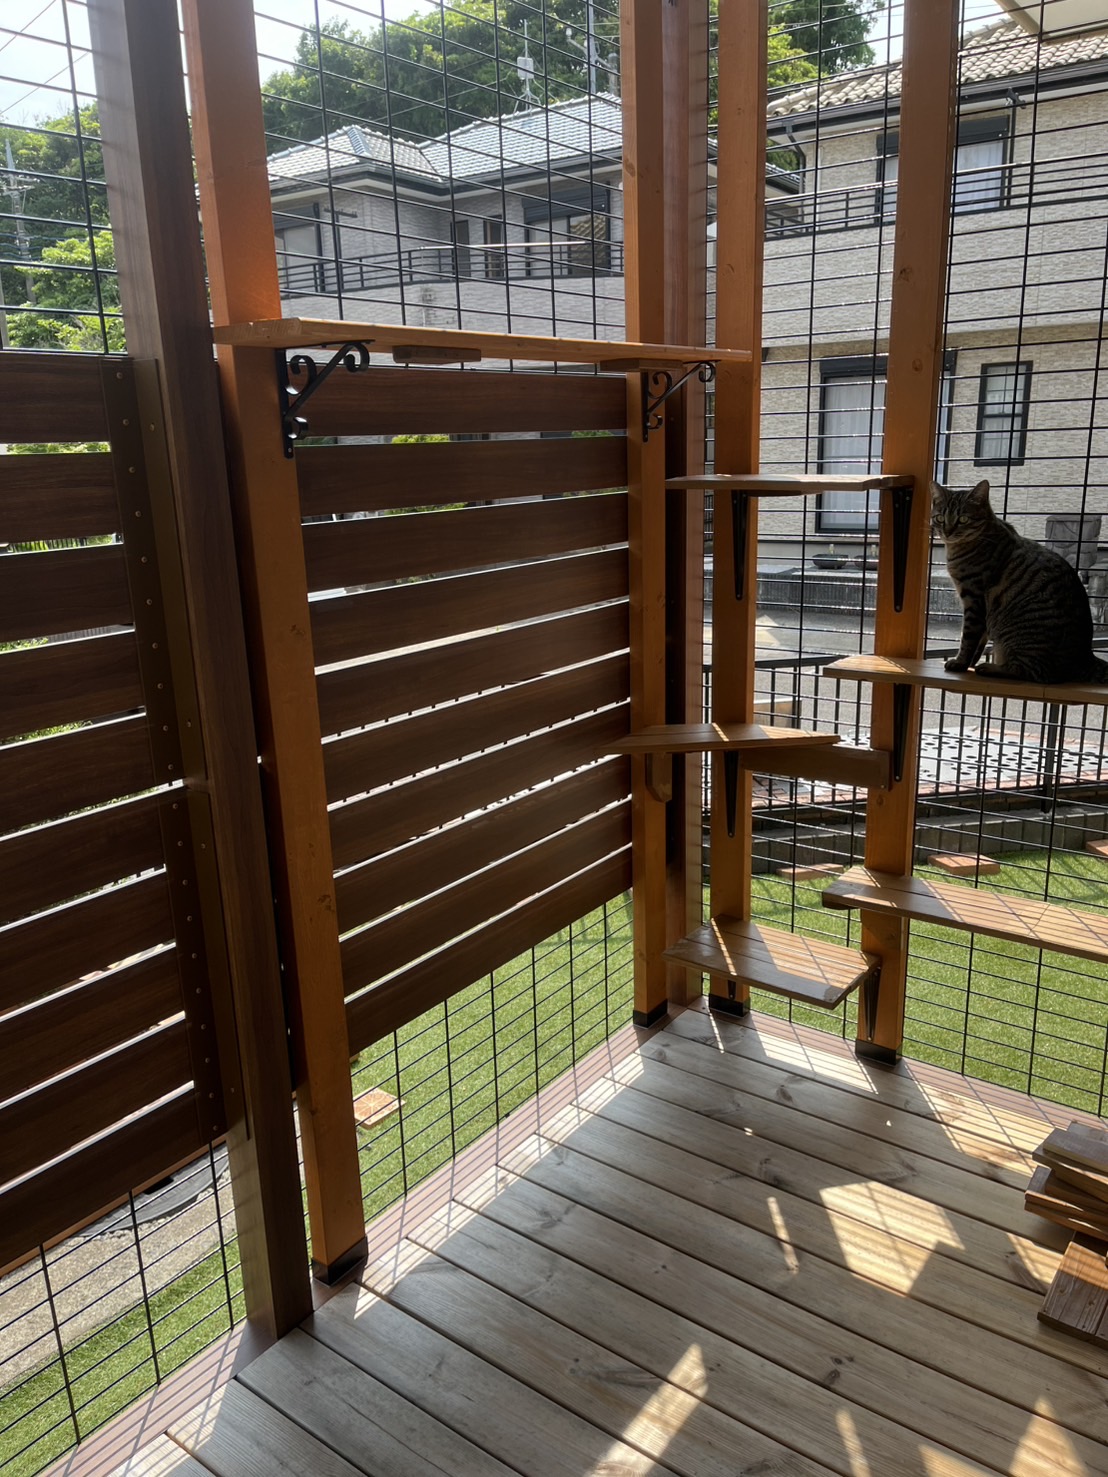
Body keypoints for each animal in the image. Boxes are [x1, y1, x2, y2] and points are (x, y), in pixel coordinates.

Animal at [930, 479, 1108, 683]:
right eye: (940, 518)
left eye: (963, 519)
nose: (947, 531)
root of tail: (1086, 658)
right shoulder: (980, 609)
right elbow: (979, 640)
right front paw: (970, 663)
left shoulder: (974, 599)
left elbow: (968, 638)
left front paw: (960, 663)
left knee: (1030, 672)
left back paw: (991, 668)